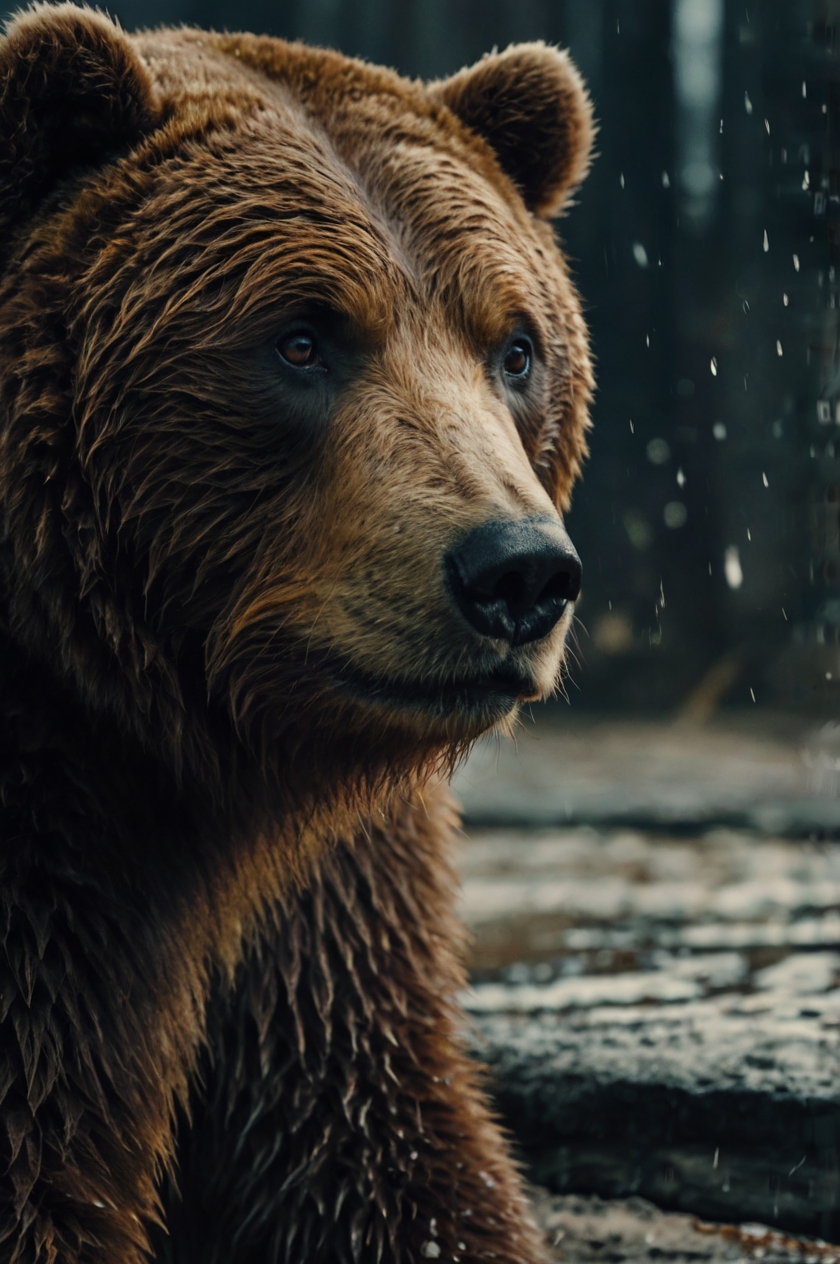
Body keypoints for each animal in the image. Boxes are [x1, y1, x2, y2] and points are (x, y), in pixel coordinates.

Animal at [0, 6, 594, 1262]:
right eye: (302, 338)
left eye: (515, 347)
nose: (517, 570)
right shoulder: (48, 865)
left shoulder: (330, 895)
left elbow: (370, 1143)